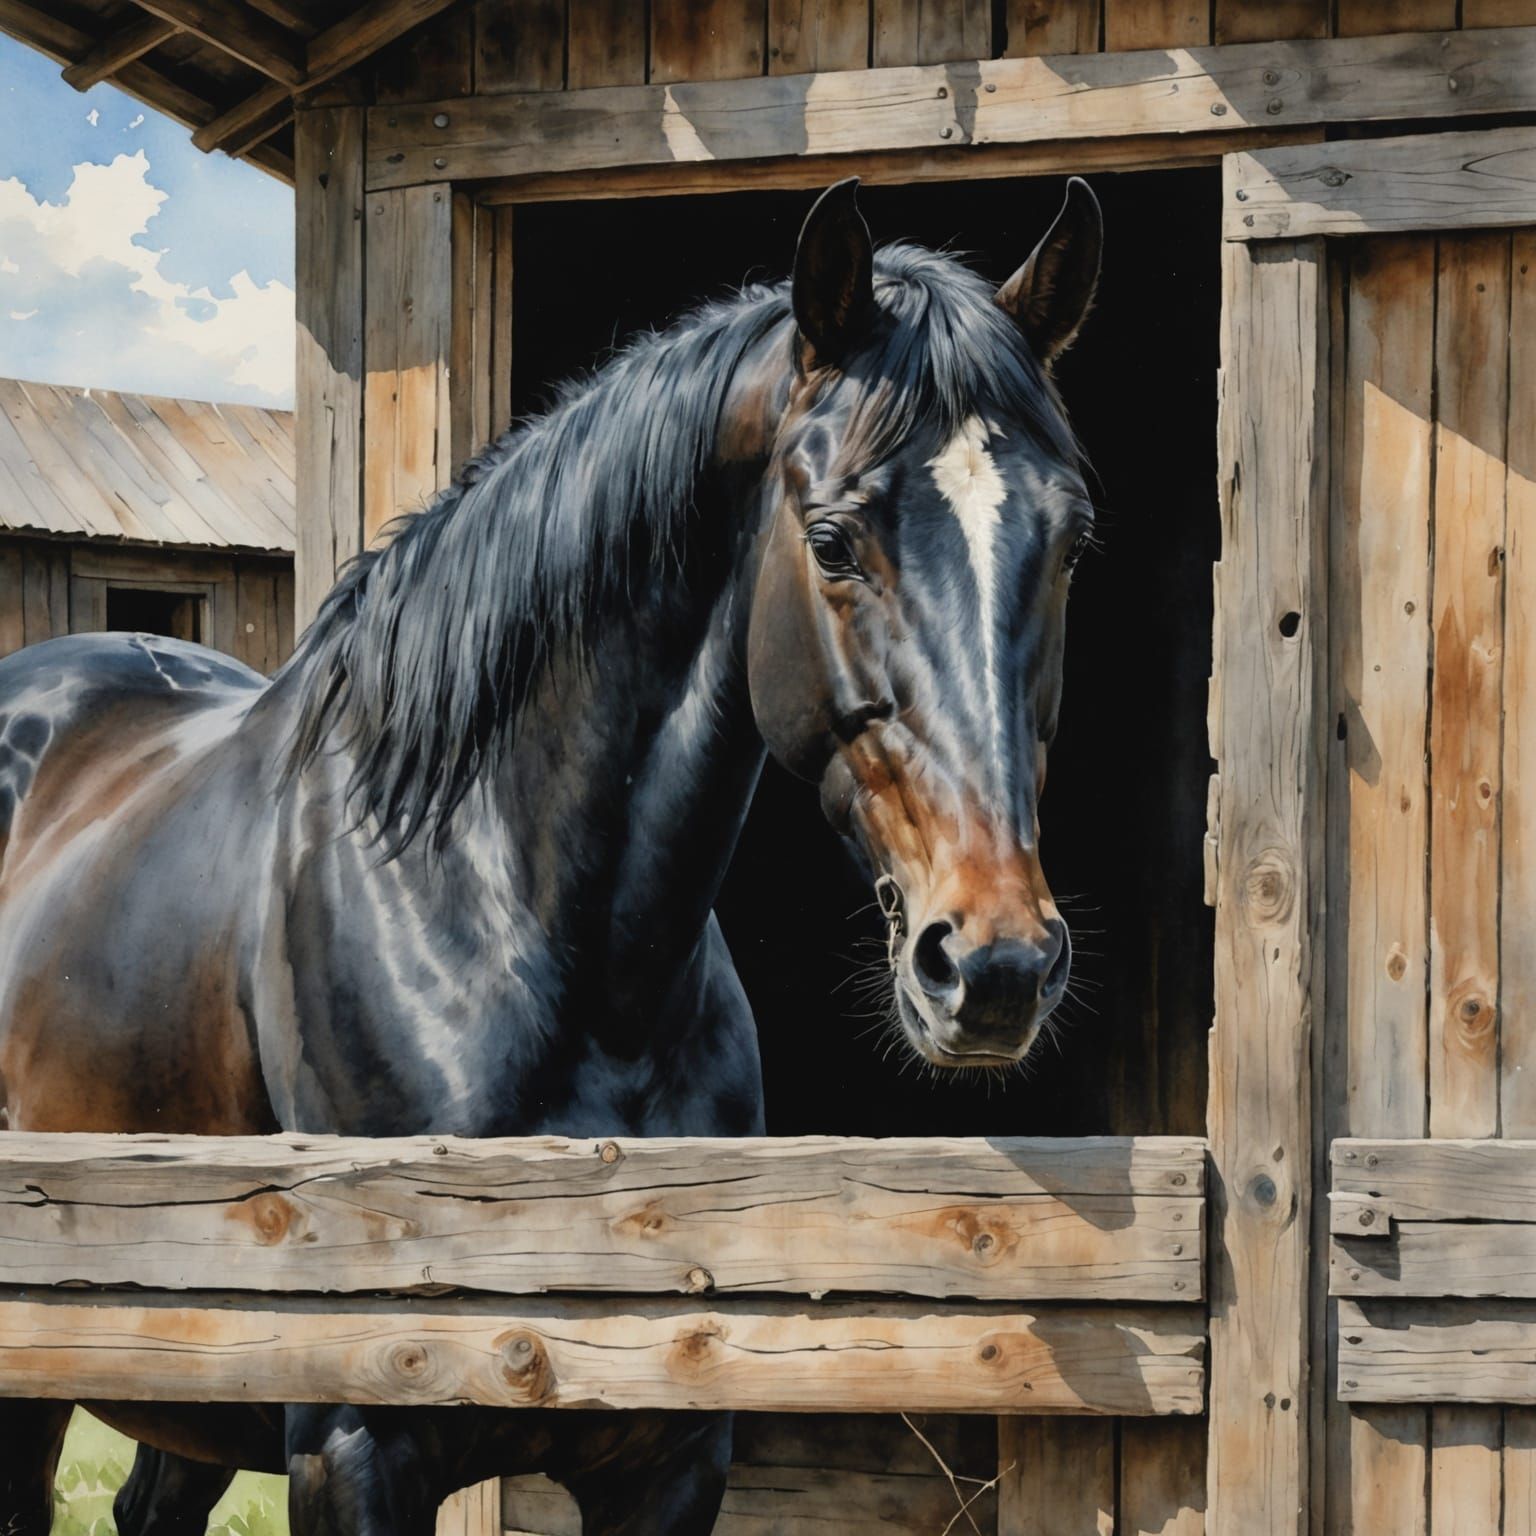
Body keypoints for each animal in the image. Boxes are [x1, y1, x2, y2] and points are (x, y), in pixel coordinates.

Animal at [0, 176, 1101, 1536]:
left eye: (1071, 542)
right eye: (836, 539)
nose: (995, 966)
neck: (491, 905)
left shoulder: (671, 1458)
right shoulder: (354, 1449)